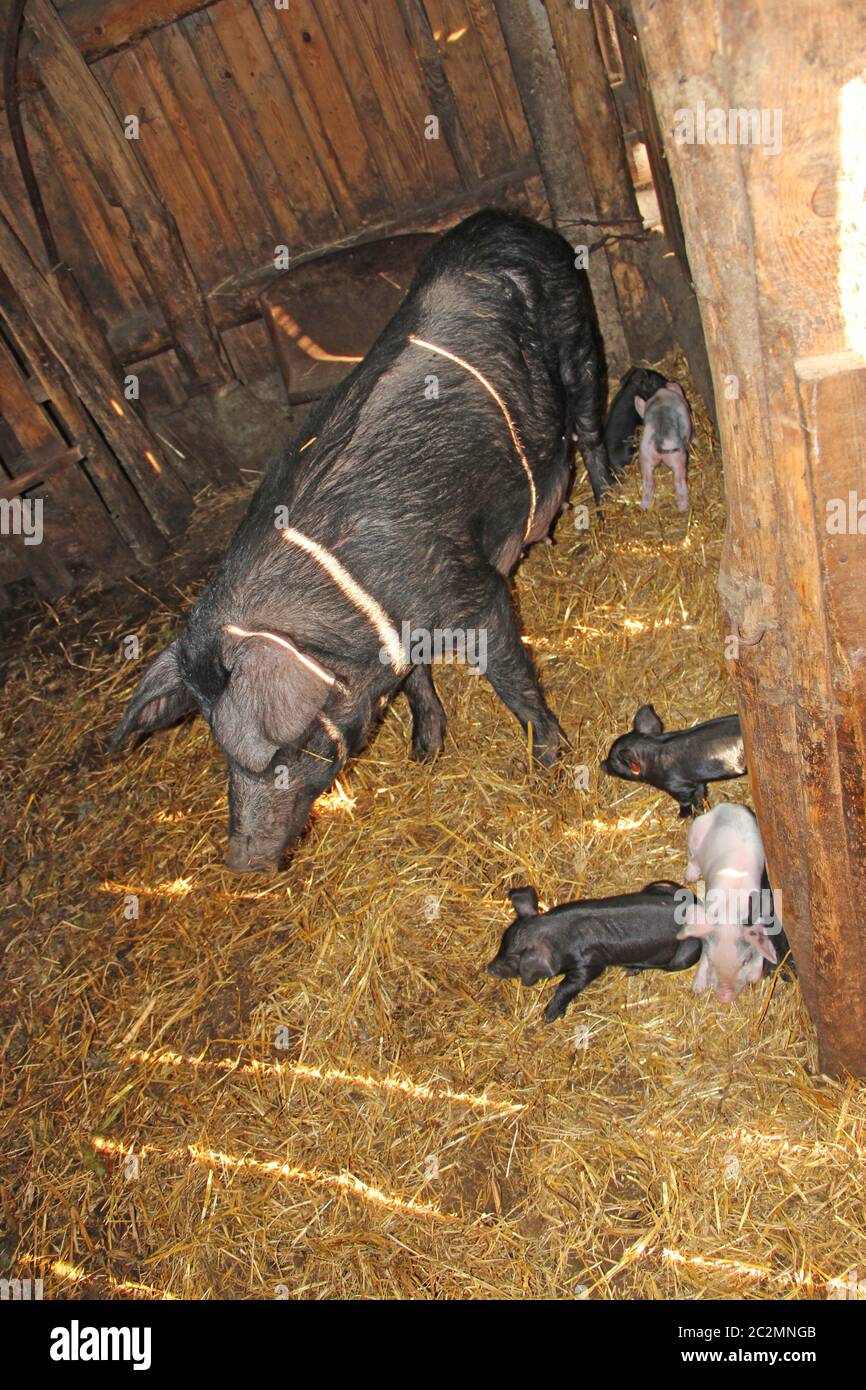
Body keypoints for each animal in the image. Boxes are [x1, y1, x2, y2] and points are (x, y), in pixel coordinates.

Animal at [111, 208, 614, 867]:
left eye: (277, 751)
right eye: (218, 750)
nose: (241, 864)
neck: (353, 609)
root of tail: (502, 218)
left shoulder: (473, 592)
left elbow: (511, 677)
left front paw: (550, 763)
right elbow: (416, 681)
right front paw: (425, 752)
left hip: (580, 340)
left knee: (588, 424)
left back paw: (612, 507)